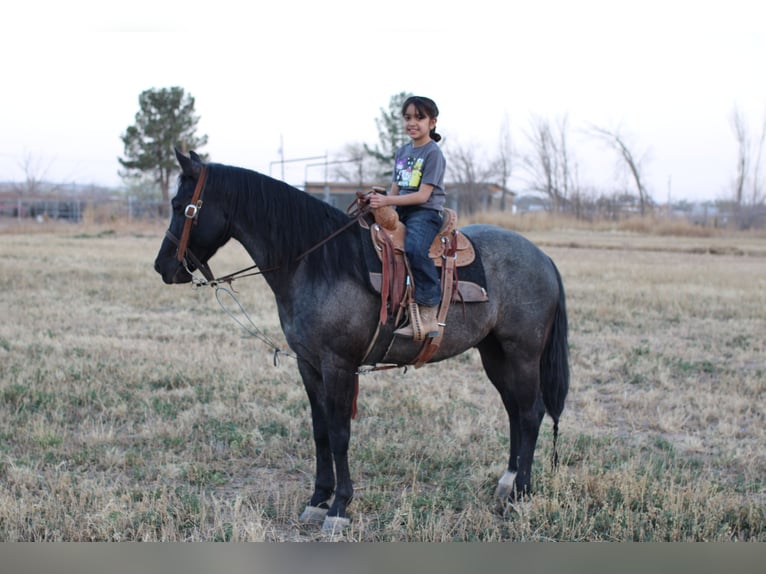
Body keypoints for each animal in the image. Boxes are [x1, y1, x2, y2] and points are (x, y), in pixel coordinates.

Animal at [154, 150, 568, 536]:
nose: (163, 267)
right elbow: (320, 431)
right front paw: (317, 501)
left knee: (531, 412)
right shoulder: (308, 364)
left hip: (523, 353)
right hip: (494, 353)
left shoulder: (338, 365)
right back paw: (507, 482)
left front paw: (339, 508)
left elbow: (339, 435)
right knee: (514, 411)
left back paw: (521, 493)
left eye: (179, 206)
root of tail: (544, 257)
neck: (314, 262)